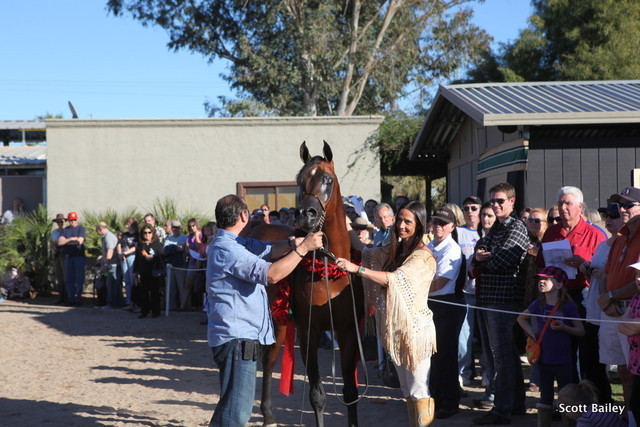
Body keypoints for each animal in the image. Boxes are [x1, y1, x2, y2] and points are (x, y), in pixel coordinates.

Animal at [250, 141, 364, 427]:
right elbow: (317, 395)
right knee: (268, 361)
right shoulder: (308, 331)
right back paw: (267, 415)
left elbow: (350, 391)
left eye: (327, 179)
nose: (306, 215)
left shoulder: (347, 331)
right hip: (277, 321)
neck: (328, 271)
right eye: (299, 181)